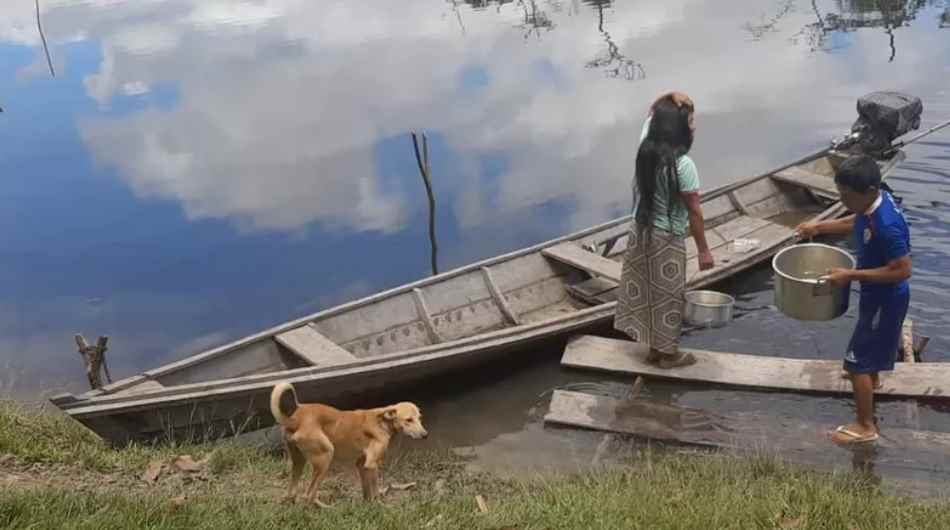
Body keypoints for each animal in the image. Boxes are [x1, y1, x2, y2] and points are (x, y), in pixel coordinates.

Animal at [270, 380, 430, 504]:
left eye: (420, 418)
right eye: (408, 420)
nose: (425, 435)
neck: (383, 422)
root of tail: (294, 419)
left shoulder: (361, 464)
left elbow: (366, 491)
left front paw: (367, 505)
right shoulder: (372, 465)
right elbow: (375, 490)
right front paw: (379, 505)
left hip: (299, 461)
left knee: (292, 493)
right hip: (326, 457)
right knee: (308, 495)